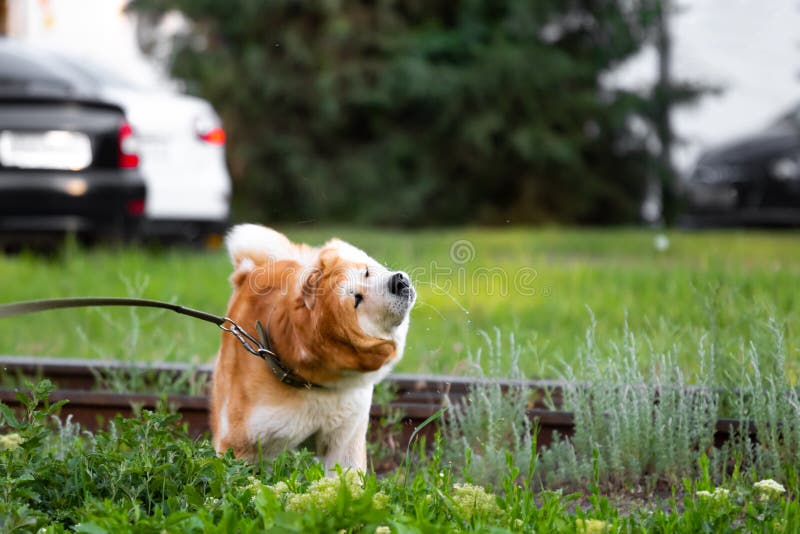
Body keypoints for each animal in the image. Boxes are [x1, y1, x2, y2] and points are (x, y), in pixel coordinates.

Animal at [209, 224, 416, 472]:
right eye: (356, 300)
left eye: (366, 272)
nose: (398, 281)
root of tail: (248, 273)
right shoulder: (241, 443)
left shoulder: (345, 437)